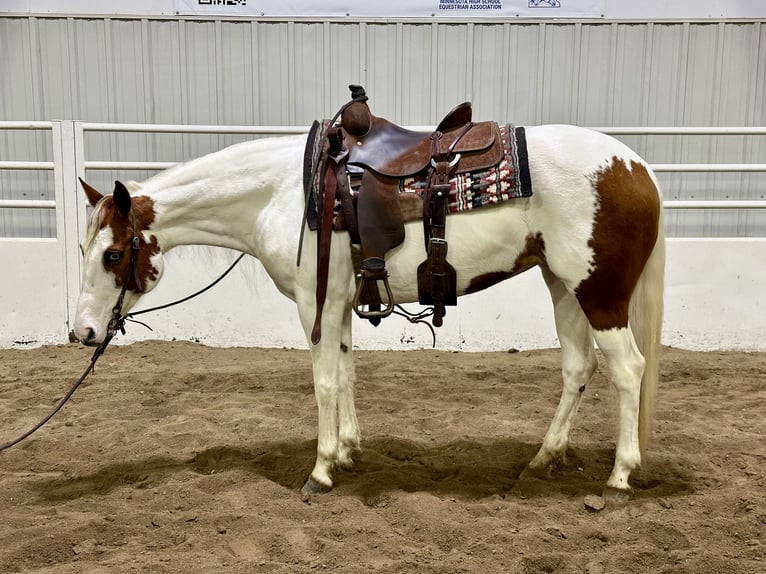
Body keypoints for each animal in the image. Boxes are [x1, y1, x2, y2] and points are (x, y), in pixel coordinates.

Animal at [75, 111, 668, 500]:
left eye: (112, 254)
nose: (82, 332)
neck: (282, 193)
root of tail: (635, 165)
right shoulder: (339, 303)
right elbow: (346, 373)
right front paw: (346, 449)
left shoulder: (313, 304)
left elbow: (323, 382)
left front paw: (319, 471)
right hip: (563, 286)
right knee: (578, 367)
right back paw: (543, 458)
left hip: (600, 293)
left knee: (627, 369)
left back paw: (619, 478)